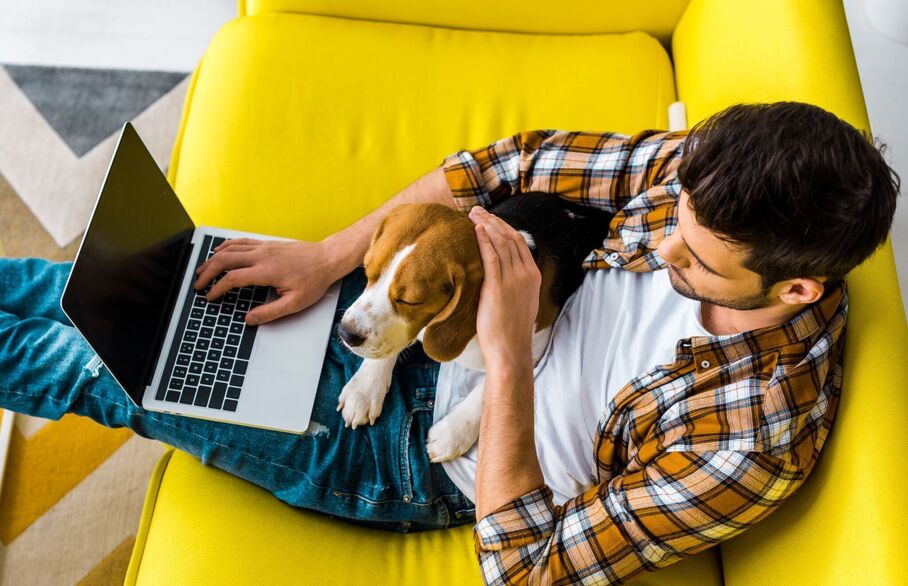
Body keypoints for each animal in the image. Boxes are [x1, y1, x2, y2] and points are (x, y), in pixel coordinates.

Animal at [334, 192, 612, 460]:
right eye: (367, 271)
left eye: (410, 300)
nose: (346, 333)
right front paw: (365, 387)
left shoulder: (534, 347)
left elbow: (486, 388)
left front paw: (452, 433)